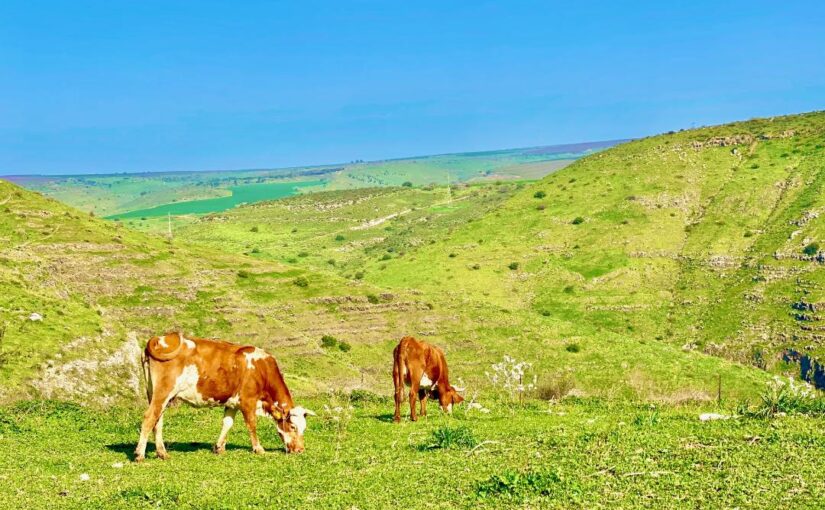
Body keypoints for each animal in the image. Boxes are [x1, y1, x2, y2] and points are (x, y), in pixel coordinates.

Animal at [134, 330, 314, 462]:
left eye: (304, 427)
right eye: (293, 426)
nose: (300, 450)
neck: (262, 369)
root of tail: (159, 338)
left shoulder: (232, 402)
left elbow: (227, 423)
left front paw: (219, 447)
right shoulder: (248, 401)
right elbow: (252, 425)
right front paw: (259, 448)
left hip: (155, 393)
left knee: (158, 421)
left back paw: (162, 453)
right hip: (163, 391)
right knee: (149, 417)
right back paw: (139, 455)